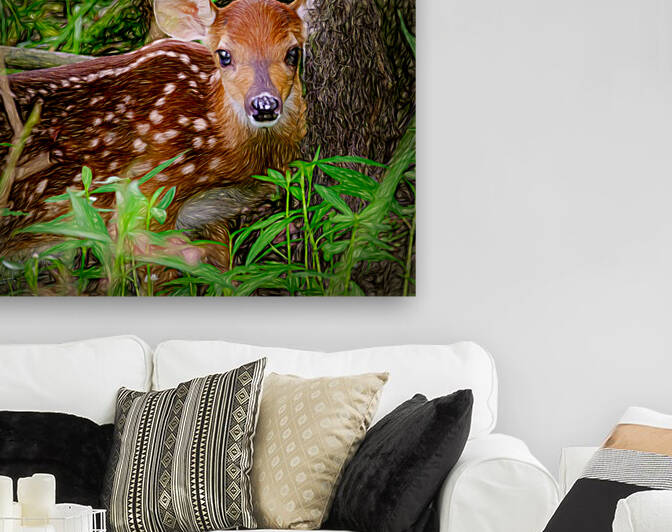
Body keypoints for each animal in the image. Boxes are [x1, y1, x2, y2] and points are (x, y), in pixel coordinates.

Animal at [0, 0, 310, 270]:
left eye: (293, 52)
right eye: (224, 54)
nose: (264, 105)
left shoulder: (212, 215)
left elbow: (224, 265)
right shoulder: (148, 191)